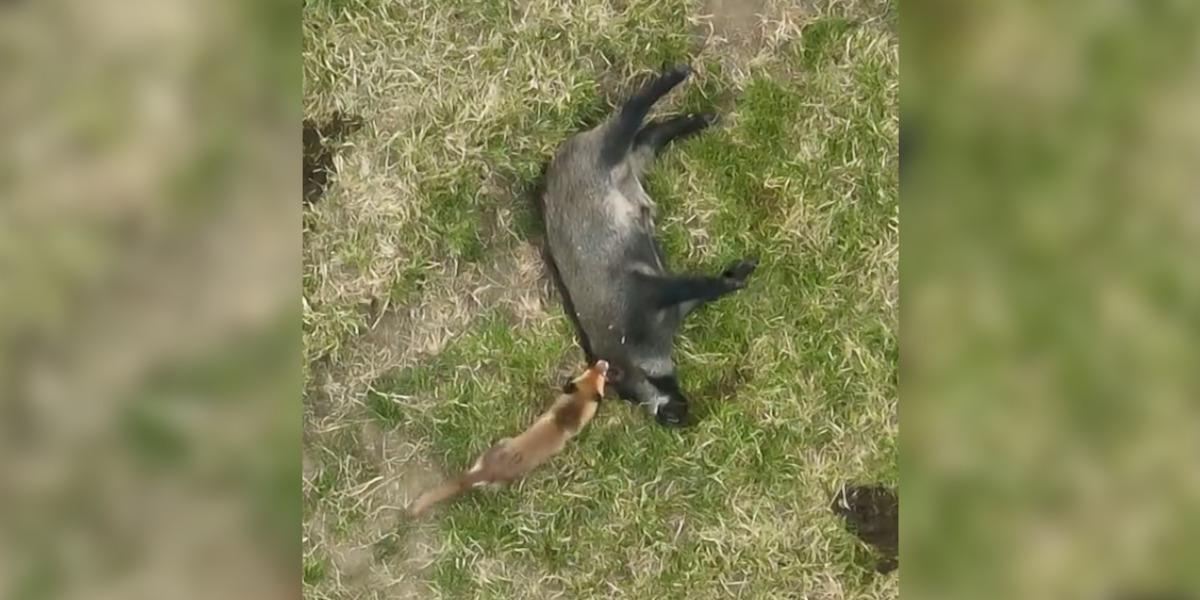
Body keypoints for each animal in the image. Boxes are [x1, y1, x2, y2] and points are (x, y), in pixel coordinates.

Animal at [539, 64, 757, 427]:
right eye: (630, 398)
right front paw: (736, 274)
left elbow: (689, 284)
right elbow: (705, 287)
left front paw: (738, 274)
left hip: (605, 150)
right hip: (636, 157)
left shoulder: (643, 293)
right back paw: (700, 119)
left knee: (629, 115)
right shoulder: (673, 301)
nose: (675, 416)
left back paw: (675, 77)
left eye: (624, 383)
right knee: (651, 133)